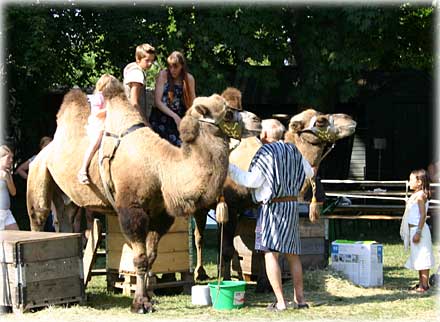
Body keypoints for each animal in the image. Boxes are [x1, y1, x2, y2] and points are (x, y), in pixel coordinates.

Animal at [25, 79, 262, 314]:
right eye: (228, 112)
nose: (258, 121)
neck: (161, 170)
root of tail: (45, 150)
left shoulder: (161, 215)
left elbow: (151, 257)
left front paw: (149, 296)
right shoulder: (132, 212)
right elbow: (139, 259)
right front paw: (140, 303)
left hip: (67, 198)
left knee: (65, 222)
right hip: (38, 173)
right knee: (38, 217)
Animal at [191, 108, 356, 282]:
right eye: (320, 121)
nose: (349, 119)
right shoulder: (230, 205)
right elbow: (228, 248)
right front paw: (226, 280)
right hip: (201, 206)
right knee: (199, 237)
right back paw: (200, 273)